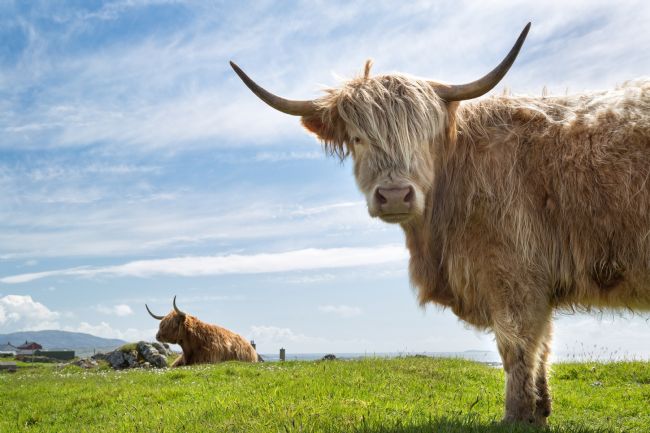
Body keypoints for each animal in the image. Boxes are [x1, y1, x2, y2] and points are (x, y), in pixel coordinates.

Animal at [230, 22, 650, 424]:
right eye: (359, 138)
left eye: (423, 136)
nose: (395, 195)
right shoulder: (534, 285)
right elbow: (541, 347)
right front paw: (540, 412)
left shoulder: (513, 274)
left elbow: (517, 347)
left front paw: (516, 416)